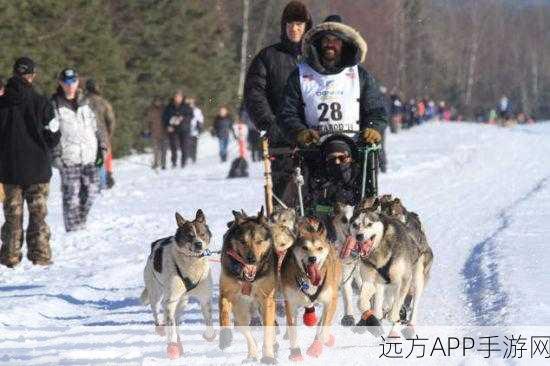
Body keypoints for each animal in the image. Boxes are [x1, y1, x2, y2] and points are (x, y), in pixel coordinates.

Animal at [140, 210, 218, 358]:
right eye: (190, 235)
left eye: (202, 234)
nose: (198, 244)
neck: (192, 264)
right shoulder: (170, 300)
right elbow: (171, 327)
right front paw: (172, 345)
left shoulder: (205, 297)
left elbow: (209, 320)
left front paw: (209, 335)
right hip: (156, 292)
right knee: (156, 310)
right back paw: (161, 329)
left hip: (182, 302)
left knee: (176, 319)